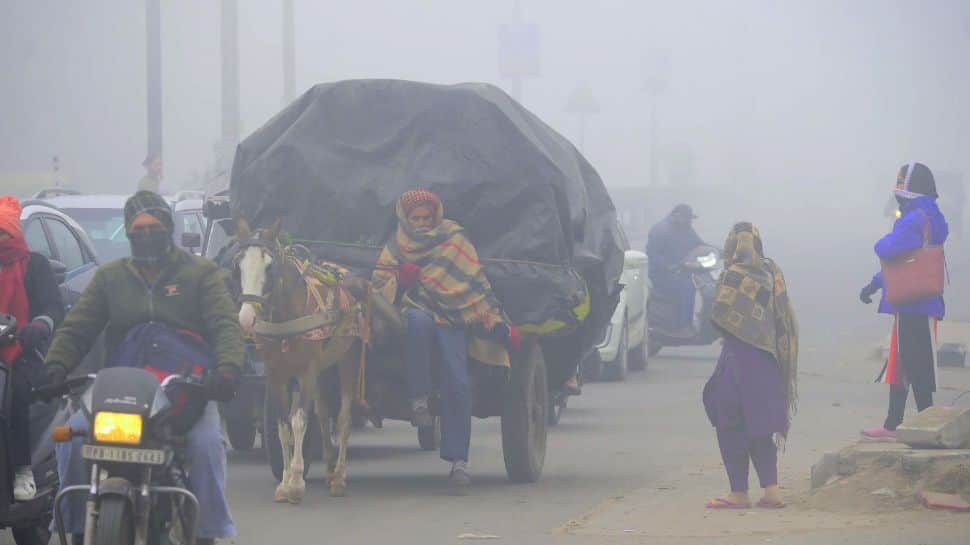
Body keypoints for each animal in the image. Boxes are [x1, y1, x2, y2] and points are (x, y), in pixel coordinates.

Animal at [236, 219, 368, 500]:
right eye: (238, 262)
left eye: (270, 266)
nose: (246, 318)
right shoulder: (275, 373)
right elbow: (283, 424)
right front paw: (285, 482)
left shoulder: (307, 370)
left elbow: (299, 420)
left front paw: (296, 482)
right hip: (322, 368)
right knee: (323, 414)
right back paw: (328, 468)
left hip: (348, 358)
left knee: (343, 418)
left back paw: (339, 476)